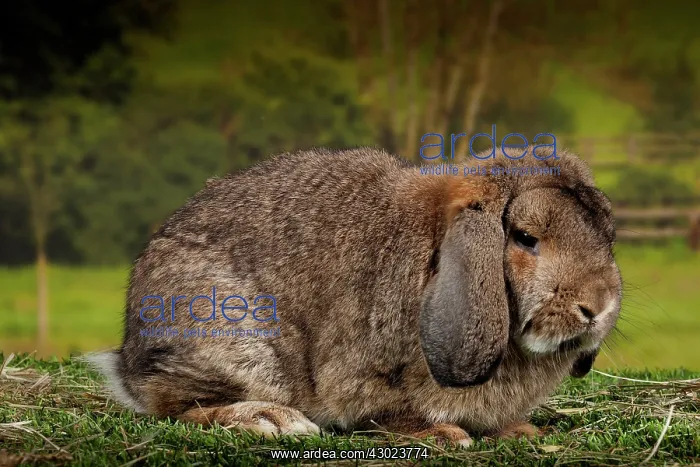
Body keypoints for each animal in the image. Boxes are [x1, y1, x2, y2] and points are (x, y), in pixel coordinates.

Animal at [87, 145, 622, 447]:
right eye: (526, 238)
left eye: (607, 234)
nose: (598, 307)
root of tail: (128, 359)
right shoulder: (364, 373)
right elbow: (390, 410)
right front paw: (443, 435)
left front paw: (520, 432)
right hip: (232, 339)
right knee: (178, 407)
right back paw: (271, 420)